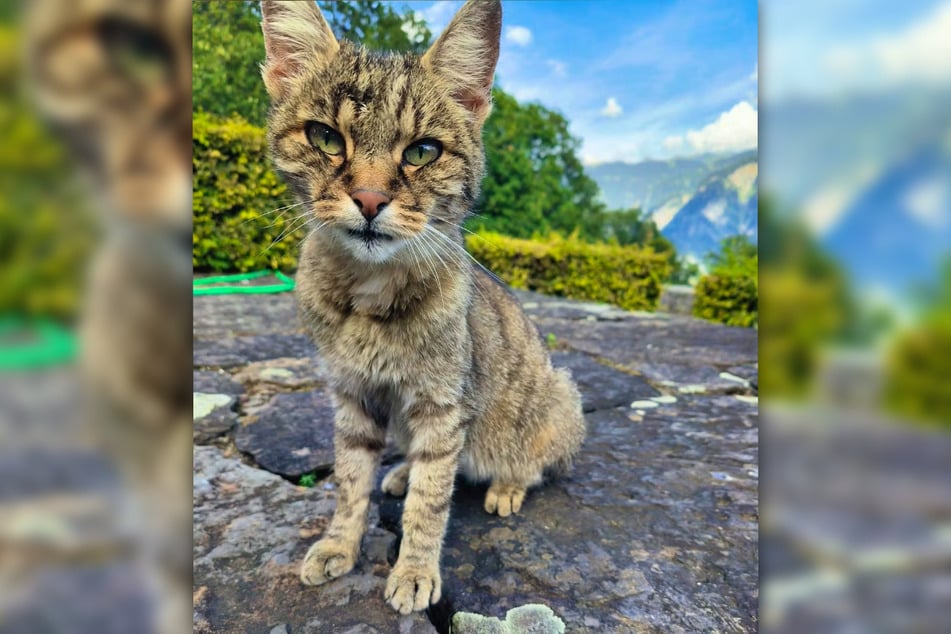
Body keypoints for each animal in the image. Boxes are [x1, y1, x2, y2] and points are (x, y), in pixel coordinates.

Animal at [260, 0, 588, 612]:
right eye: (326, 137)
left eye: (422, 152)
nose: (368, 200)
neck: (367, 292)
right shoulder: (353, 395)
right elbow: (350, 482)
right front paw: (340, 544)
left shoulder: (442, 405)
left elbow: (430, 502)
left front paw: (413, 571)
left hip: (558, 399)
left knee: (533, 464)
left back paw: (506, 485)